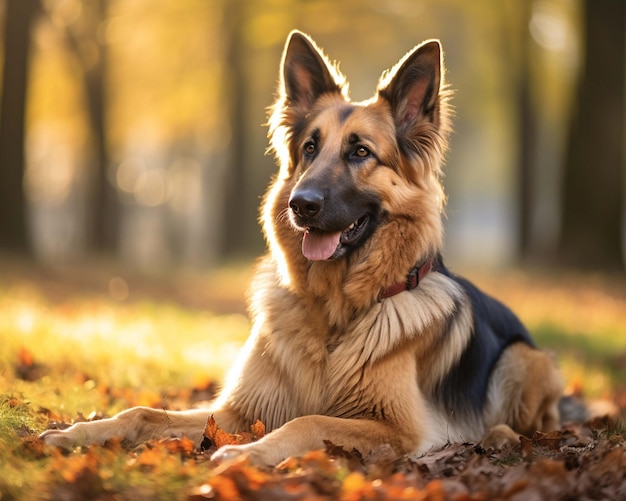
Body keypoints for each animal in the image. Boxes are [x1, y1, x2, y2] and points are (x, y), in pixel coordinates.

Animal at [41, 31, 564, 466]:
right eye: (310, 148)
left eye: (360, 152)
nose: (301, 204)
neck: (333, 314)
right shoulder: (237, 410)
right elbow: (144, 413)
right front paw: (77, 433)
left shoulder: (397, 428)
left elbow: (307, 420)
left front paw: (245, 453)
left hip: (524, 360)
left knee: (536, 425)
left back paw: (498, 435)